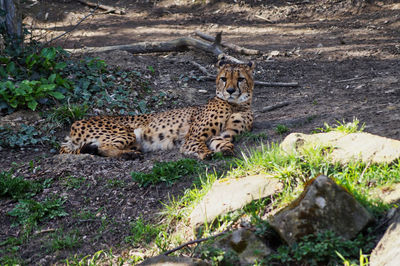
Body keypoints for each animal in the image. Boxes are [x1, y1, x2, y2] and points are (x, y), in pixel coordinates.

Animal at [60, 60, 253, 160]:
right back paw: (129, 154)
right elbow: (194, 145)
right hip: (127, 132)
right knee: (103, 148)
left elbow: (223, 142)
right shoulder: (193, 137)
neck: (236, 104)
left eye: (240, 79)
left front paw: (225, 148)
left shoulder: (220, 134)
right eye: (223, 78)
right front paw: (205, 153)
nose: (230, 91)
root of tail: (75, 124)